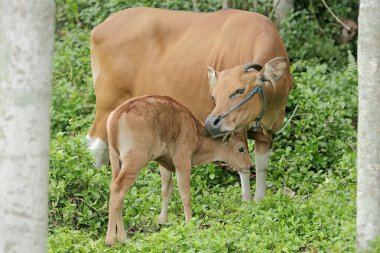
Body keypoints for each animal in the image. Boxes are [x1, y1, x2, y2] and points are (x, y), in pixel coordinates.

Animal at [87, 6, 294, 203]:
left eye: (239, 90)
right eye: (214, 96)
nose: (212, 123)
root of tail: (101, 27)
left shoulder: (268, 130)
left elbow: (261, 166)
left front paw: (260, 201)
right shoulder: (237, 128)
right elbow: (241, 163)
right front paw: (246, 202)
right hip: (107, 101)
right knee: (96, 142)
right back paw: (95, 179)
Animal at [104, 95, 252, 245]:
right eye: (241, 148)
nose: (250, 166)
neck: (195, 132)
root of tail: (117, 115)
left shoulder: (164, 164)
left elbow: (166, 189)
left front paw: (162, 220)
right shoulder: (183, 162)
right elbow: (185, 193)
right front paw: (190, 223)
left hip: (116, 161)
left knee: (117, 192)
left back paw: (122, 236)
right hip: (134, 163)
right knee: (118, 189)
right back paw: (110, 239)